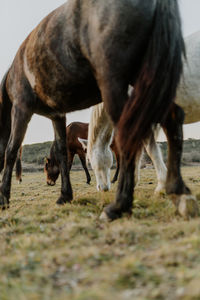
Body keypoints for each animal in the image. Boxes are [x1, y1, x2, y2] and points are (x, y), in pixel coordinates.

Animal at [0, 0, 188, 220]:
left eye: (46, 167)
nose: (48, 182)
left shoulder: (21, 109)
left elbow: (12, 150)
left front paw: (3, 198)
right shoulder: (57, 116)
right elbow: (62, 154)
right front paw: (65, 196)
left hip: (116, 87)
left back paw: (119, 204)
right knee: (173, 118)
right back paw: (178, 191)